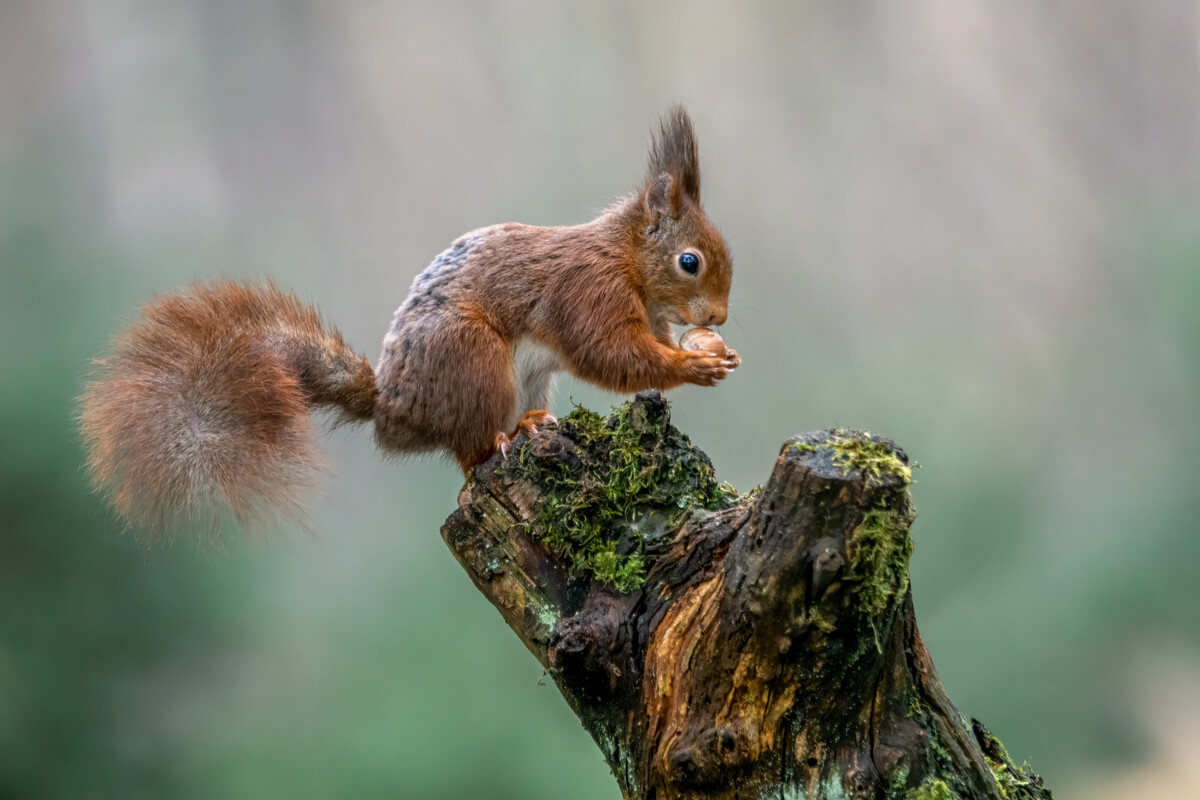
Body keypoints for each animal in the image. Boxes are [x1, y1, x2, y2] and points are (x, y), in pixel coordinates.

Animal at [79, 106, 740, 535]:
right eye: (690, 261)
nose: (720, 316)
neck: (625, 258)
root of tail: (390, 409)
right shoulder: (586, 292)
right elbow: (611, 355)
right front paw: (694, 365)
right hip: (472, 357)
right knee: (470, 454)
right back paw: (507, 439)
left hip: (522, 378)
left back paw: (530, 424)